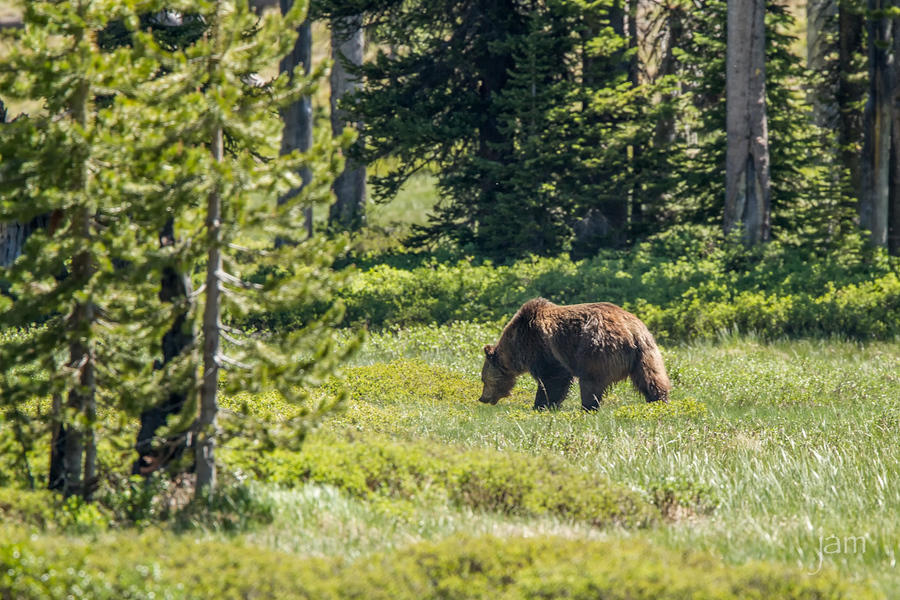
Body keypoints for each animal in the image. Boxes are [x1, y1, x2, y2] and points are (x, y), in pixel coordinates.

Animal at [478, 298, 668, 410]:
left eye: (483, 379)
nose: (482, 398)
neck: (516, 347)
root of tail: (631, 330)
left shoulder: (542, 348)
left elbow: (553, 377)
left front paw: (541, 405)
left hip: (595, 349)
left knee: (591, 381)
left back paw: (587, 407)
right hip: (646, 353)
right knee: (651, 378)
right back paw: (659, 402)